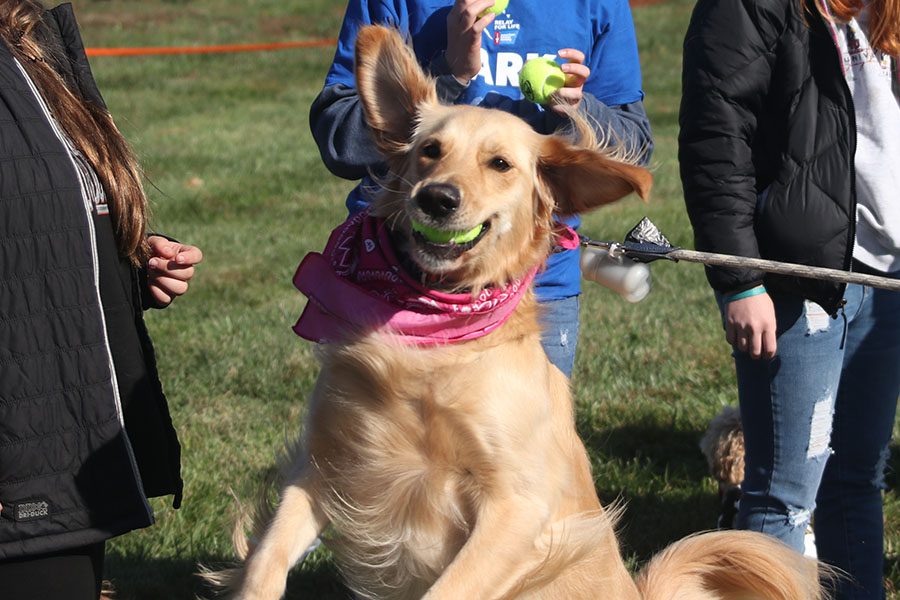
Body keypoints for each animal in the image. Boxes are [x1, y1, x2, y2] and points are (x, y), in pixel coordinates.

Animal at [207, 25, 828, 596]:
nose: (436, 198)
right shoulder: (326, 465)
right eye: (429, 150)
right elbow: (264, 562)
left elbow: (448, 587)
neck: (434, 338)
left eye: (500, 164)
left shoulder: (517, 505)